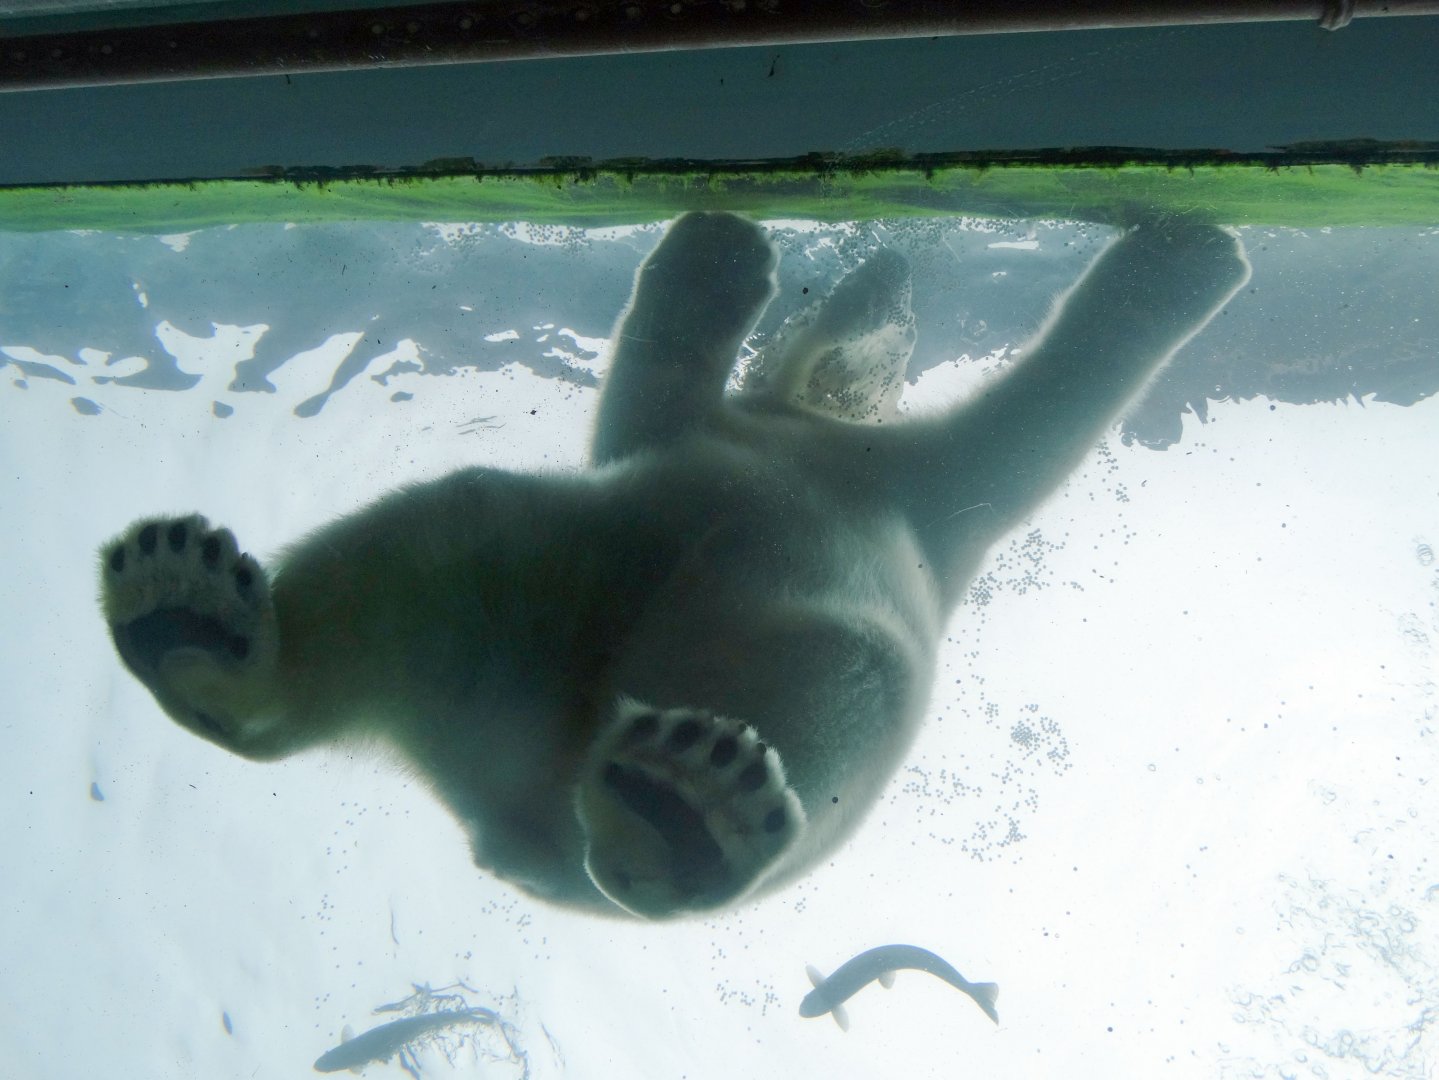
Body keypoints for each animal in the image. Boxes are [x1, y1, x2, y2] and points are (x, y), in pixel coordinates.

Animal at [99, 212, 1250, 919]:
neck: (805, 428)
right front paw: (722, 251)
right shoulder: (802, 457)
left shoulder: (875, 480)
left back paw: (681, 811)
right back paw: (194, 622)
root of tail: (524, 820)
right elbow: (1041, 406)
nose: (887, 267)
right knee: (447, 539)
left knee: (835, 669)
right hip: (522, 615)